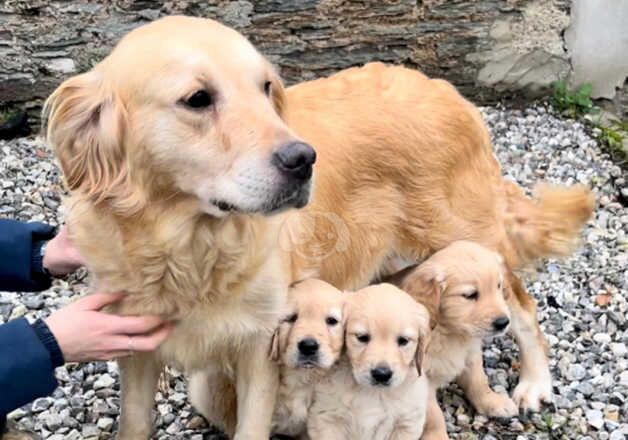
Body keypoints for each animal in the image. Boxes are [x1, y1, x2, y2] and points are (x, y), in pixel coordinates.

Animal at [308, 284, 432, 438]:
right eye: (362, 337)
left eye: (403, 341)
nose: (382, 374)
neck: (373, 393)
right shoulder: (327, 417)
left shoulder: (406, 423)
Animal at [388, 241, 516, 440]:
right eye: (470, 295)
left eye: (498, 286)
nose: (503, 322)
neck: (449, 332)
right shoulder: (420, 380)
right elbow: (433, 415)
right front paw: (437, 436)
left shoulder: (471, 355)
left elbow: (479, 381)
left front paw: (493, 402)